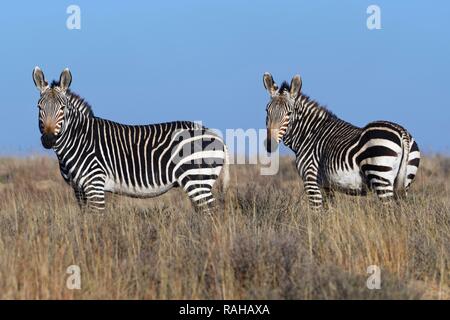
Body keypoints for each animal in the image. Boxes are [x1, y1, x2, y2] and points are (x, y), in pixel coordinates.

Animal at [32, 66, 229, 211]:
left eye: (62, 108)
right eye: (39, 107)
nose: (48, 139)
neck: (79, 140)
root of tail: (216, 136)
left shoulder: (95, 184)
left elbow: (96, 222)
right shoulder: (78, 190)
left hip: (198, 180)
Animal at [262, 72, 420, 208]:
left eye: (289, 113)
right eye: (267, 111)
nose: (270, 144)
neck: (309, 134)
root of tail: (402, 133)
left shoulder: (311, 181)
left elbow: (316, 215)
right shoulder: (327, 187)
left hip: (380, 176)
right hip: (405, 180)